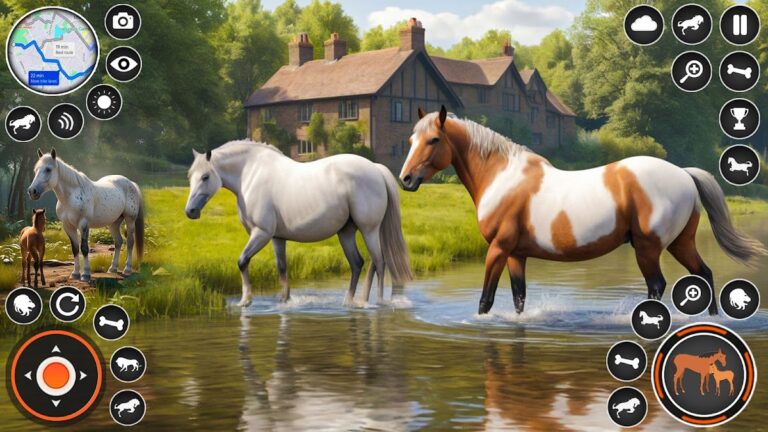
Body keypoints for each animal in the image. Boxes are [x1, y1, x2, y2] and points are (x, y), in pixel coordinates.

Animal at [28, 149, 144, 281]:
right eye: (36, 170)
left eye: (48, 169)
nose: (32, 191)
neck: (70, 197)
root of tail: (131, 183)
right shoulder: (68, 226)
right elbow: (75, 249)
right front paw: (75, 274)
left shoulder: (83, 224)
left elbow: (84, 248)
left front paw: (85, 274)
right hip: (113, 223)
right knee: (118, 242)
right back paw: (113, 268)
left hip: (130, 220)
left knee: (130, 242)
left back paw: (127, 269)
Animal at [184, 140, 412, 307]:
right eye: (190, 176)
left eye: (205, 177)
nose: (190, 211)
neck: (250, 174)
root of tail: (375, 168)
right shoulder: (277, 238)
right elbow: (282, 268)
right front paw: (285, 301)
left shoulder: (262, 234)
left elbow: (242, 261)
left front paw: (245, 301)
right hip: (346, 232)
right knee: (358, 263)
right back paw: (352, 301)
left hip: (369, 230)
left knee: (380, 263)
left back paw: (377, 302)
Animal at [399, 106, 766, 315]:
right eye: (410, 141)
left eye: (433, 140)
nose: (405, 179)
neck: (502, 176)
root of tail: (684, 174)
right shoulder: (517, 254)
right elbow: (518, 300)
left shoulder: (498, 250)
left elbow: (486, 301)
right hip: (681, 243)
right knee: (703, 274)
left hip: (648, 249)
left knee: (658, 285)